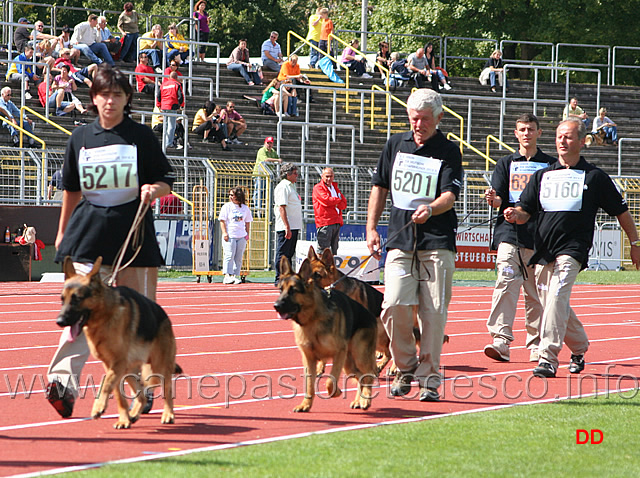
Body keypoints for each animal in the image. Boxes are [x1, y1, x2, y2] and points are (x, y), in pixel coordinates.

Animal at [55, 258, 182, 430]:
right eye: (62, 299)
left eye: (77, 299)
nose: (59, 321)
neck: (104, 317)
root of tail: (164, 315)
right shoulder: (110, 365)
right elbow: (117, 393)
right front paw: (123, 419)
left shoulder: (118, 363)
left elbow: (105, 383)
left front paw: (98, 407)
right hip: (130, 370)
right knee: (141, 393)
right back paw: (134, 414)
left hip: (158, 367)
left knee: (167, 388)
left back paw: (168, 414)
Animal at [272, 258, 378, 410]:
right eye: (281, 290)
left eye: (293, 291)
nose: (276, 306)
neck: (312, 319)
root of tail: (370, 315)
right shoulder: (309, 359)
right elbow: (309, 385)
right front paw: (306, 404)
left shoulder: (339, 353)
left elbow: (330, 380)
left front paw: (336, 391)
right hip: (349, 365)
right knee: (360, 377)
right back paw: (359, 400)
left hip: (359, 356)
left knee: (368, 375)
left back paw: (365, 400)